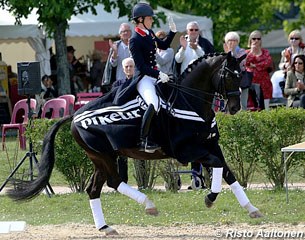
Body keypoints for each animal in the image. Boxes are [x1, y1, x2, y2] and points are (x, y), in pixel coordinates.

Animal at [6, 53, 262, 236]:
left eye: (241, 74)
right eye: (229, 75)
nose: (234, 107)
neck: (189, 101)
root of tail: (75, 115)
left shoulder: (210, 146)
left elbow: (228, 172)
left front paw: (251, 209)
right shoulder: (188, 151)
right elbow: (218, 166)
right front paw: (210, 197)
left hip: (99, 158)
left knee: (94, 189)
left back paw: (105, 228)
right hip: (104, 156)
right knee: (113, 182)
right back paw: (148, 205)